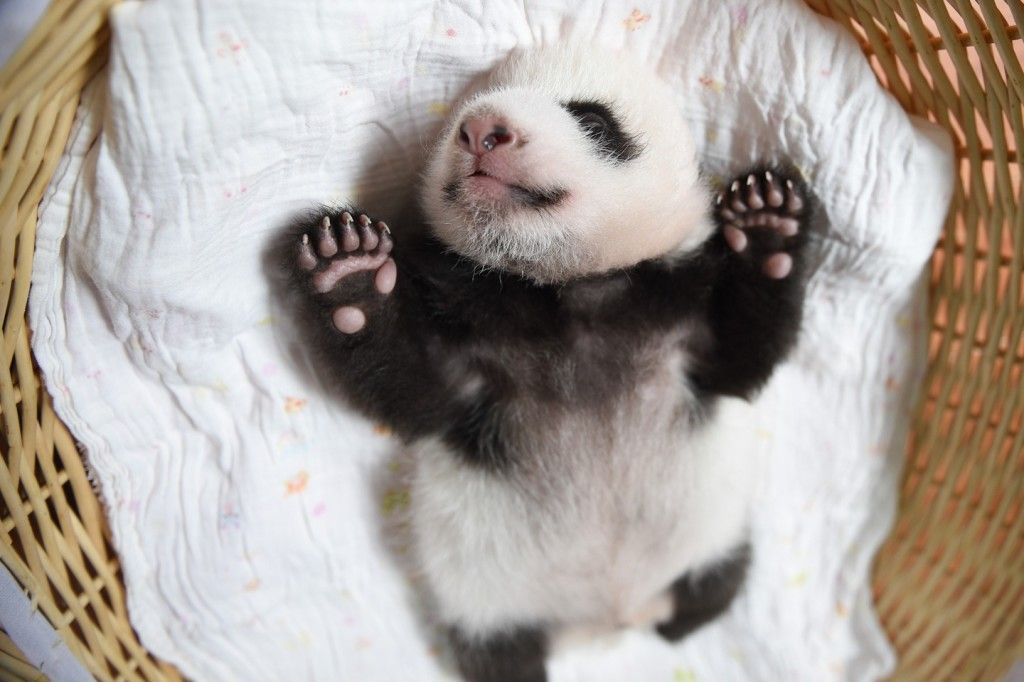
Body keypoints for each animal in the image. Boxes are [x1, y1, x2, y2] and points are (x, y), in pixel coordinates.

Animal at [280, 46, 815, 682]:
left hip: (711, 536)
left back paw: (680, 618)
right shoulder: (473, 334)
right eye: (461, 116)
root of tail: (605, 622)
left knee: (713, 589)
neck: (568, 290)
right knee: (500, 655)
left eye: (593, 121)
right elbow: (418, 395)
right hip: (484, 601)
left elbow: (739, 361)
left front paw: (766, 222)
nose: (483, 130)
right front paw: (351, 272)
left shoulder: (678, 312)